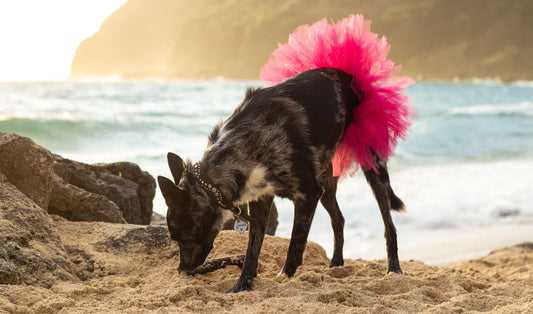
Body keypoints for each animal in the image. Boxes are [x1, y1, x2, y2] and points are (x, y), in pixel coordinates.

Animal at [158, 67, 404, 294]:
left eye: (179, 235)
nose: (182, 269)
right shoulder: (261, 200)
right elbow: (252, 250)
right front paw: (242, 285)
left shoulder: (308, 195)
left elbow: (295, 244)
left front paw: (285, 276)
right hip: (327, 185)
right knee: (339, 220)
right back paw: (336, 264)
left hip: (372, 167)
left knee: (389, 224)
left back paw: (394, 270)